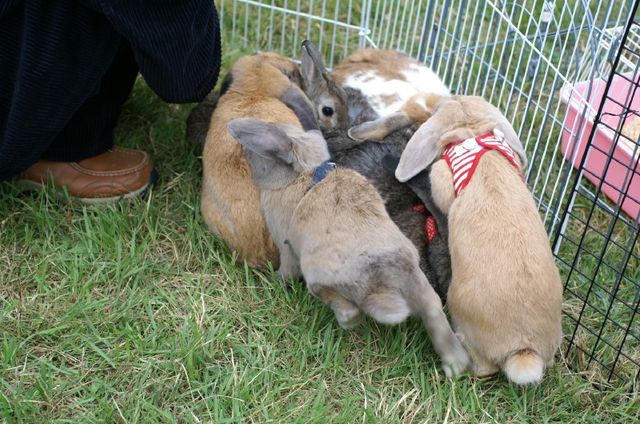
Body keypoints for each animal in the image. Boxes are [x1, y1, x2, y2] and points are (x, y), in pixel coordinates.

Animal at [226, 117, 471, 378]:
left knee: (346, 308)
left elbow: (286, 270)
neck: (304, 174)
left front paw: (273, 280)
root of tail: (389, 279)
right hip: (423, 290)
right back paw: (456, 364)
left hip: (321, 277)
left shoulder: (287, 247)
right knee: (434, 316)